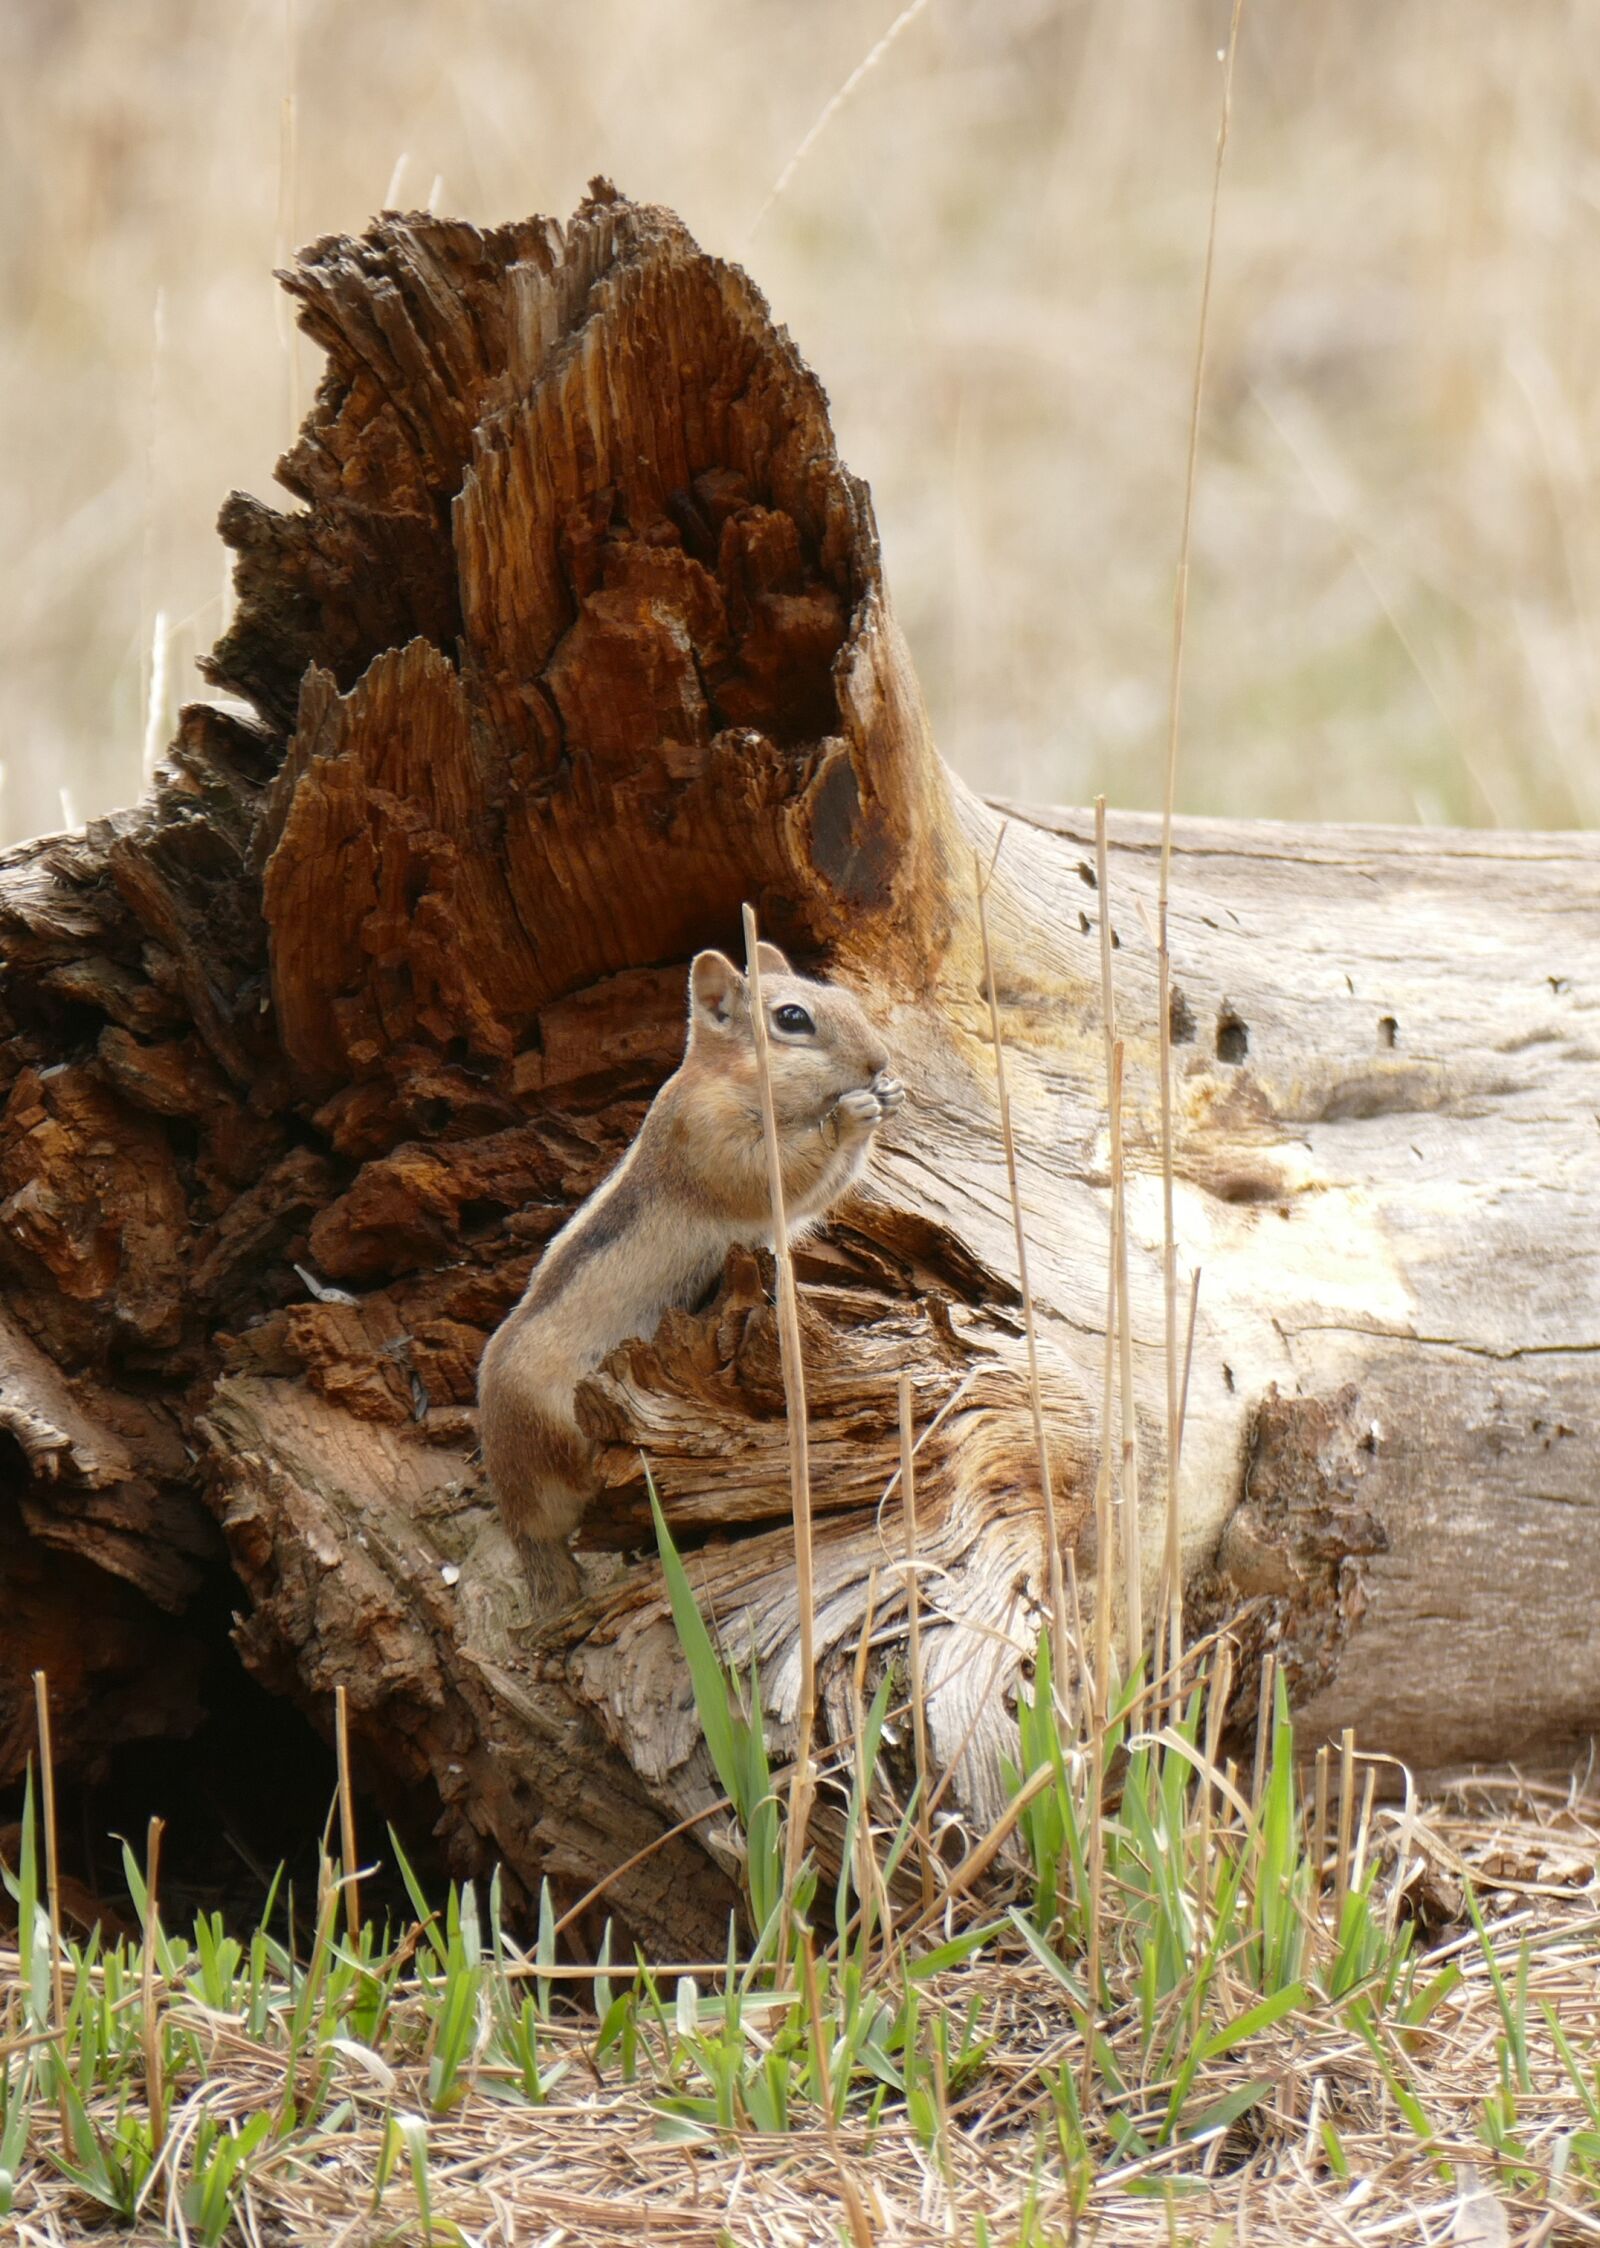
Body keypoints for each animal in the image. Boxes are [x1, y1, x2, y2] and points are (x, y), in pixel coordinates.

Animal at [478, 943, 904, 1613]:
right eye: (792, 1018)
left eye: (848, 998)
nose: (878, 1061)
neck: (728, 1079)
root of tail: (517, 1514)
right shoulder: (709, 1135)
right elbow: (773, 1174)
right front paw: (853, 1115)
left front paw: (889, 1094)